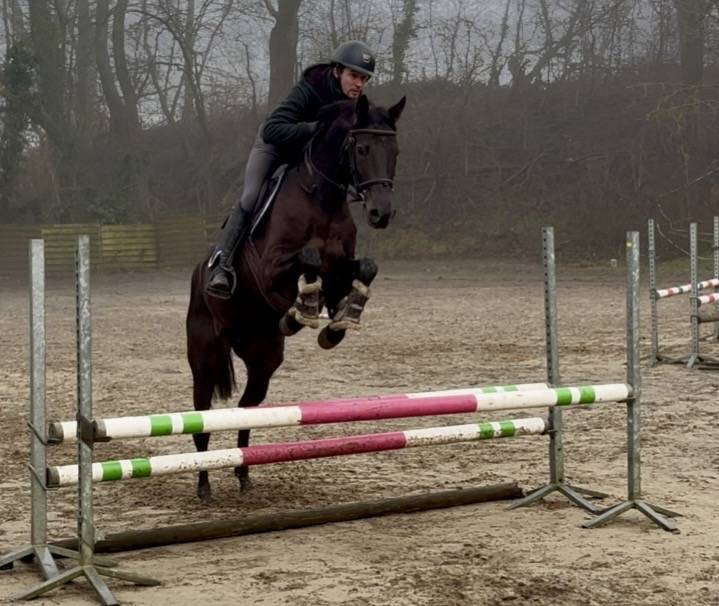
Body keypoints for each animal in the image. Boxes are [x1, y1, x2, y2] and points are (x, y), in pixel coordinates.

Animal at [186, 94, 406, 502]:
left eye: (395, 151)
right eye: (362, 148)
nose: (380, 213)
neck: (323, 196)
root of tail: (197, 274)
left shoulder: (341, 270)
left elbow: (364, 269)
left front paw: (337, 323)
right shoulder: (271, 266)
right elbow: (308, 259)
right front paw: (301, 310)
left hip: (263, 358)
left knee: (247, 408)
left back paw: (243, 474)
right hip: (205, 355)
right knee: (202, 415)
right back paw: (204, 484)